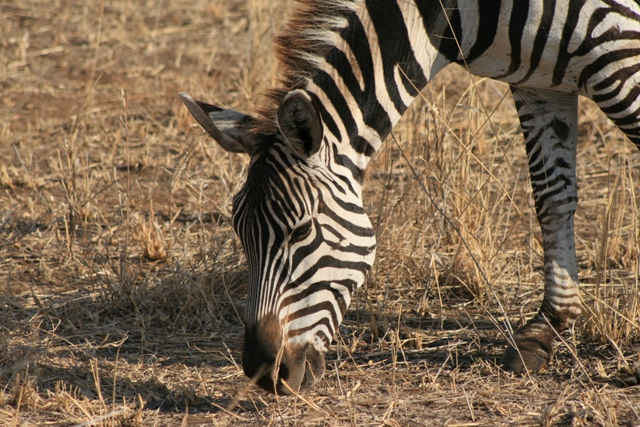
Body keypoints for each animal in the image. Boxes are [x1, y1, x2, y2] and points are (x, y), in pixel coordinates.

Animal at [180, 0, 640, 393]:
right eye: (240, 233)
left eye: (300, 232)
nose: (263, 373)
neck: (458, 14)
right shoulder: (538, 83)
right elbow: (551, 197)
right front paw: (546, 328)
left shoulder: (618, 48)